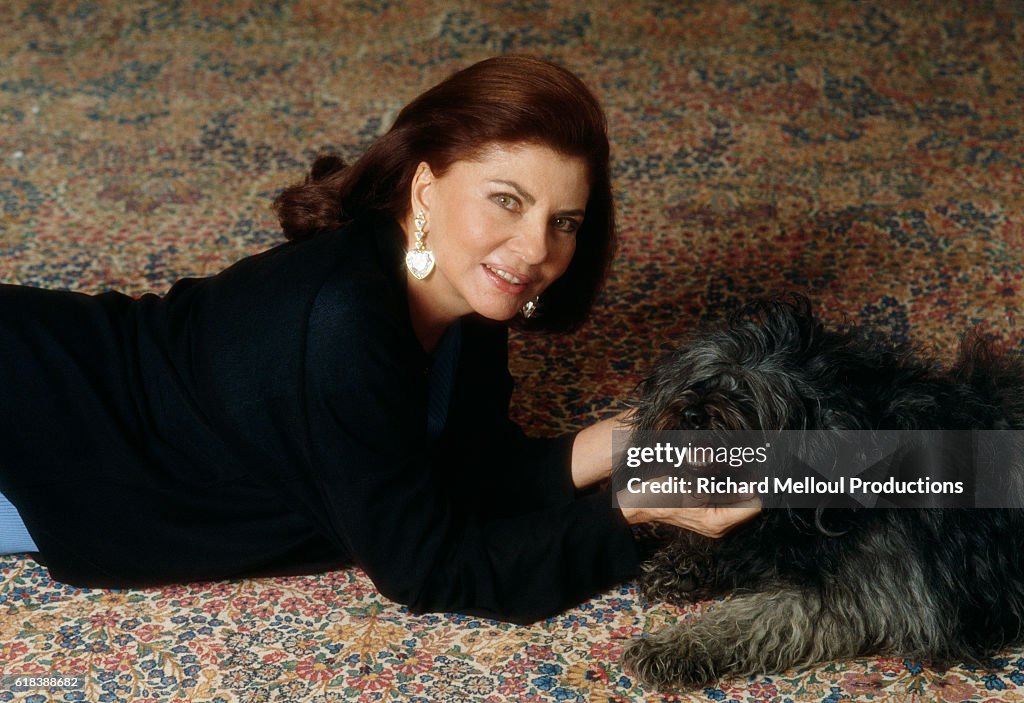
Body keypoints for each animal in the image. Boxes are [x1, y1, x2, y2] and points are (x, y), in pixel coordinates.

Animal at [618, 296, 1024, 691]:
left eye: (749, 396)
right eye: (702, 378)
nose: (692, 414)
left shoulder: (872, 597)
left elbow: (751, 617)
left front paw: (676, 648)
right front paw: (682, 565)